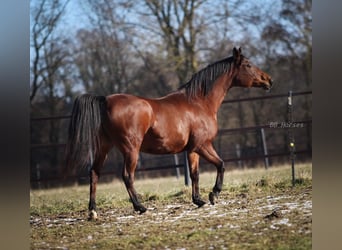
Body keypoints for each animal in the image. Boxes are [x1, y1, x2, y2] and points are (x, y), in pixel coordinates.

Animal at [64, 47, 272, 219]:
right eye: (248, 64)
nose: (269, 80)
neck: (199, 102)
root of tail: (105, 100)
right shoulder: (202, 145)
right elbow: (221, 165)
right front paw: (214, 194)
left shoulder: (192, 149)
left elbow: (195, 174)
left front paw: (199, 200)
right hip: (131, 150)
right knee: (127, 176)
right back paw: (140, 207)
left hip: (104, 147)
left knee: (94, 173)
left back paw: (93, 211)